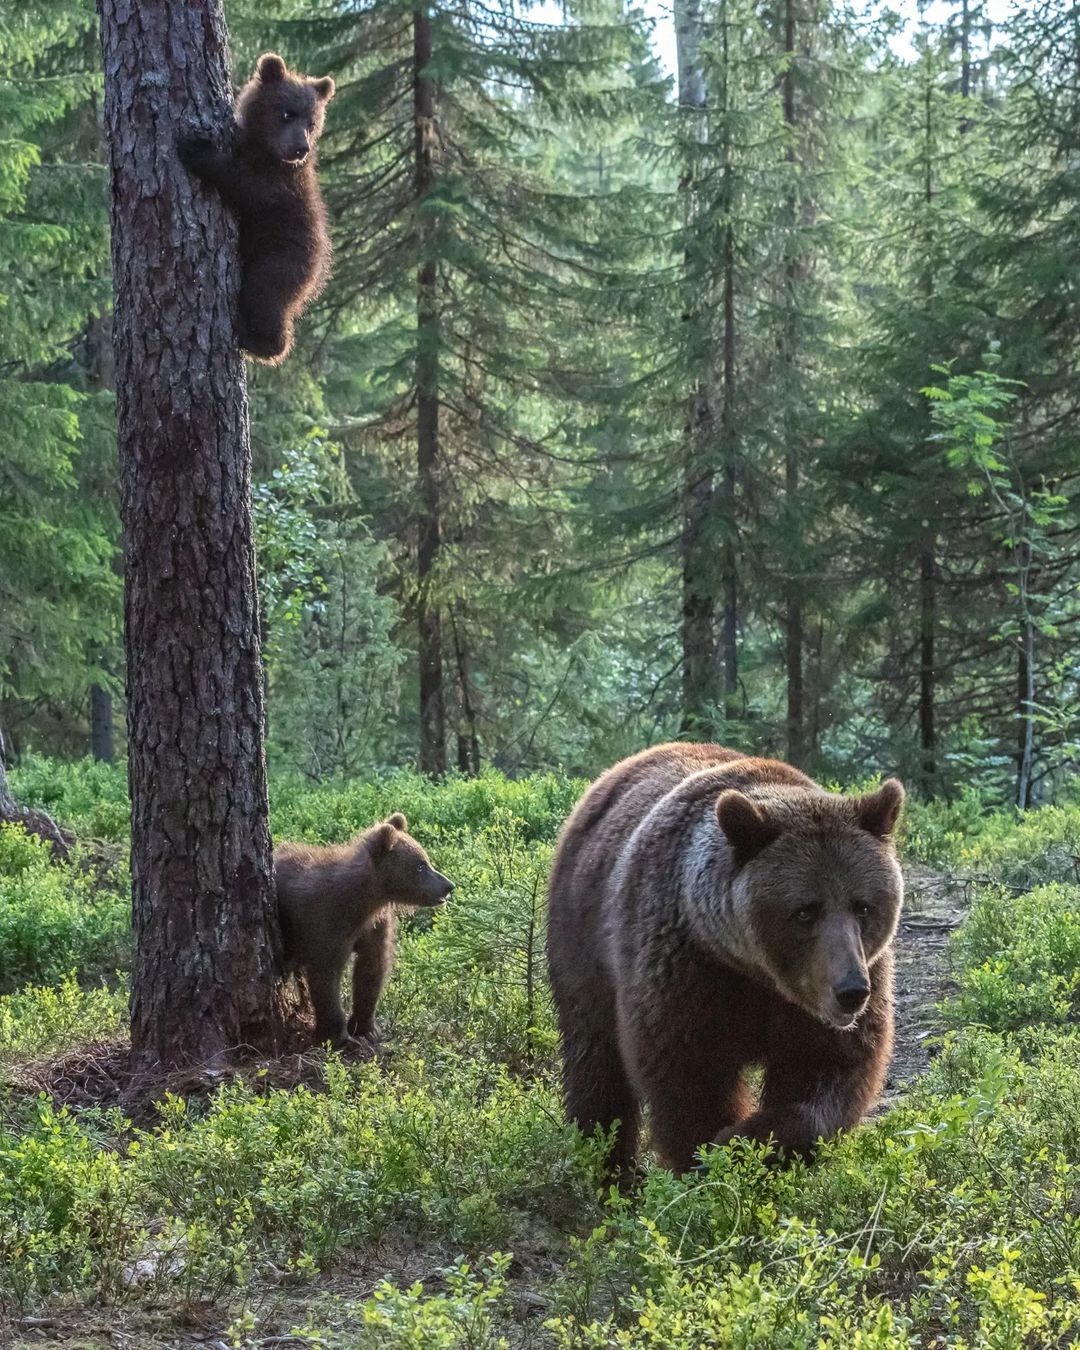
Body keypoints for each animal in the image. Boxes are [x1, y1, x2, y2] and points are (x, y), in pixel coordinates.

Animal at [545, 745, 907, 1177]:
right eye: (805, 911)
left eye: (863, 906)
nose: (850, 990)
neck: (756, 973)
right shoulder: (688, 971)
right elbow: (689, 1077)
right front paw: (712, 1151)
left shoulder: (824, 1003)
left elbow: (828, 1071)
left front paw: (751, 1139)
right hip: (582, 937)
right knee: (595, 1058)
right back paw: (609, 1164)